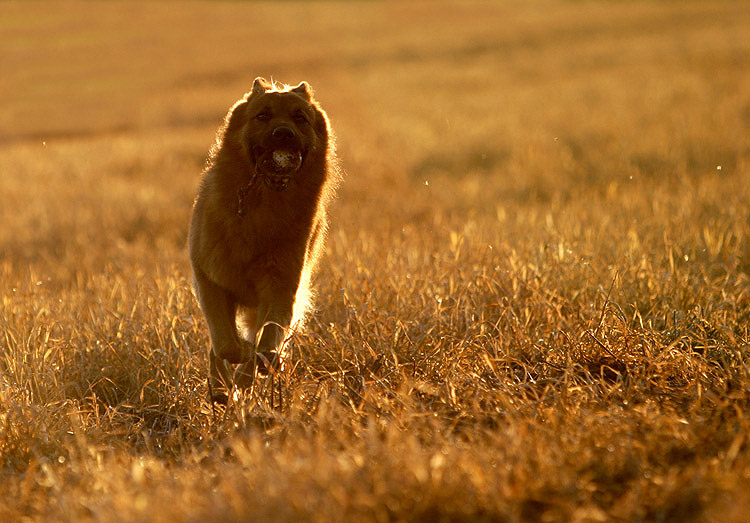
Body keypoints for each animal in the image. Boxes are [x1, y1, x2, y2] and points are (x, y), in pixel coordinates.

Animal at [188, 77, 340, 402]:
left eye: (300, 118)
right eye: (262, 116)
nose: (283, 134)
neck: (262, 209)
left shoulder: (282, 287)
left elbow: (268, 342)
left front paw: (259, 363)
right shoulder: (211, 281)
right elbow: (225, 344)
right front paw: (233, 367)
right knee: (219, 346)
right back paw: (221, 387)